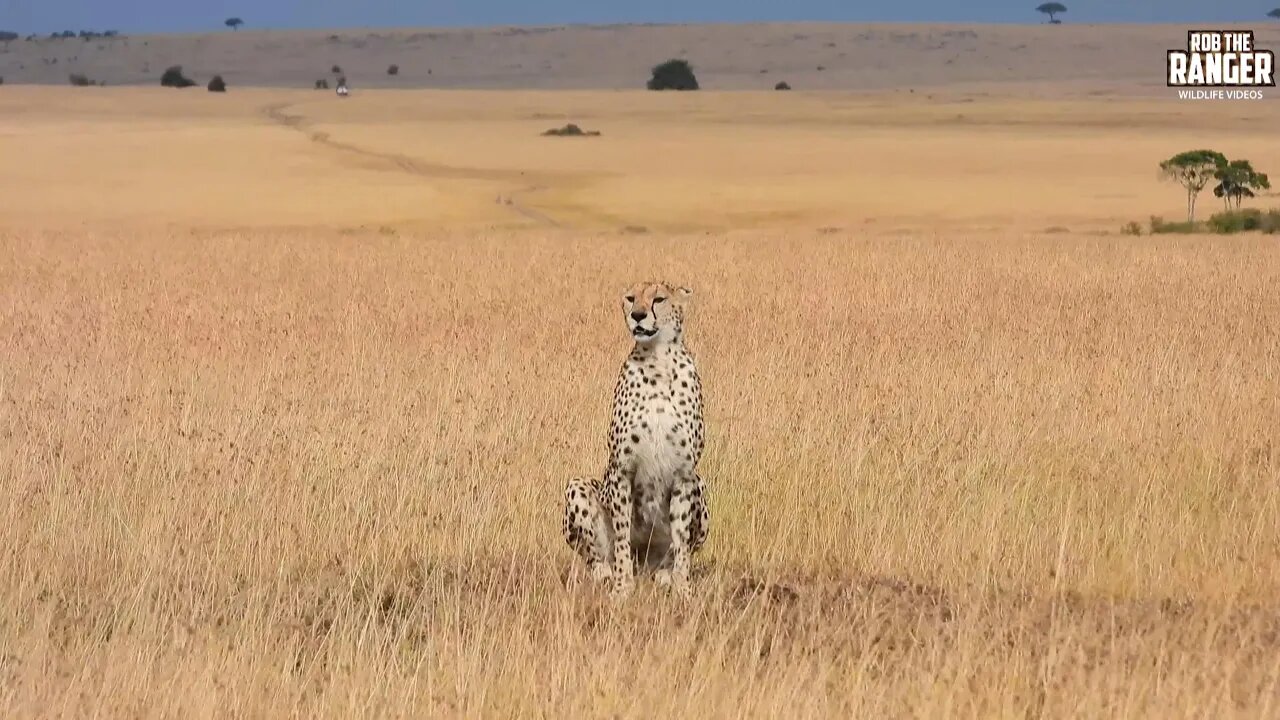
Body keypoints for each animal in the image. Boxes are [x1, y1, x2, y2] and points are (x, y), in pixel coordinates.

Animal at [563, 280, 711, 599]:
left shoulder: (684, 474)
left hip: (700, 484)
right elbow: (621, 537)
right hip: (577, 486)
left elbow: (681, 539)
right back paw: (606, 573)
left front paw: (682, 587)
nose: (638, 315)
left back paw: (665, 574)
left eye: (659, 299)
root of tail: (645, 566)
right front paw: (622, 588)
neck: (658, 361)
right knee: (597, 556)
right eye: (630, 298)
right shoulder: (622, 469)